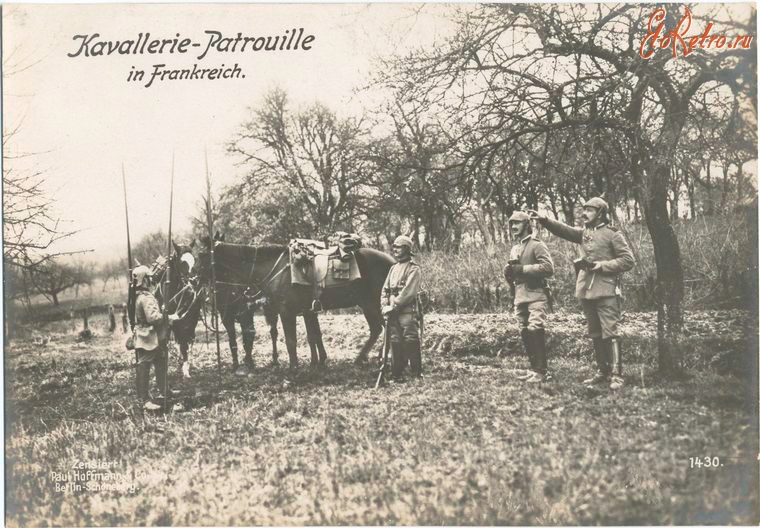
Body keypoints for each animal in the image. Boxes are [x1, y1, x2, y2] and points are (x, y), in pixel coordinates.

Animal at [196, 237, 394, 370]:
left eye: (201, 255)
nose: (193, 279)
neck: (276, 269)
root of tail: (392, 261)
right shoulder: (307, 310)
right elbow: (312, 336)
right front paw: (315, 362)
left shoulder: (287, 312)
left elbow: (291, 341)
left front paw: (294, 367)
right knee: (381, 329)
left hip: (370, 304)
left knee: (378, 328)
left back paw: (366, 358)